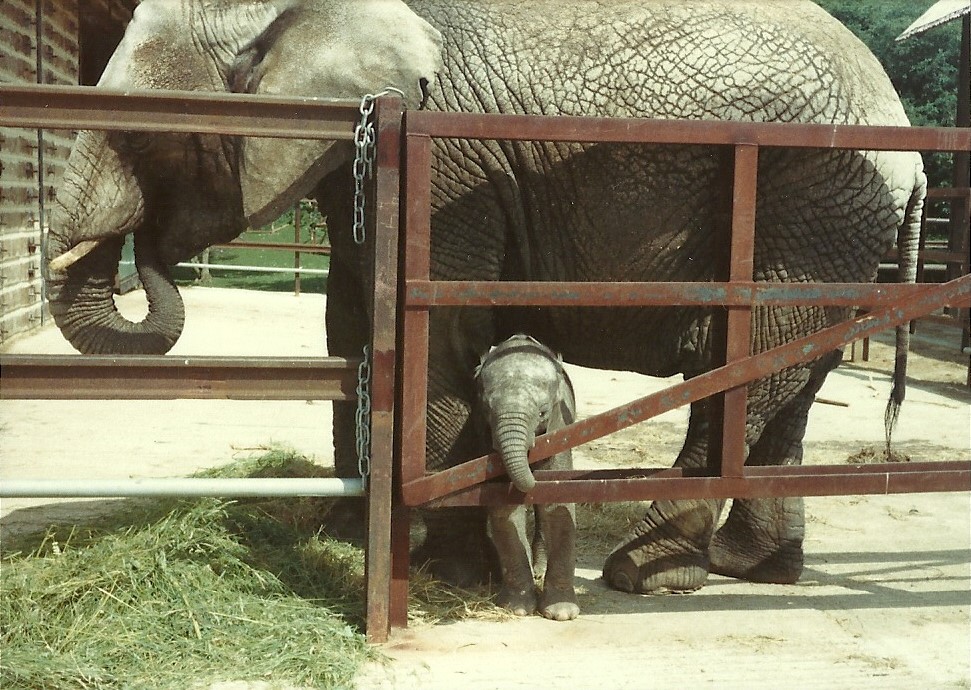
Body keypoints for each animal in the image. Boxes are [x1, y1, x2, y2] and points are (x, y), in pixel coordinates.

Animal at [474, 335, 579, 620]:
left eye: (543, 412)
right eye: (486, 410)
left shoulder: (560, 427)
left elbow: (558, 503)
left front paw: (561, 614)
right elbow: (505, 508)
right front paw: (517, 609)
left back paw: (539, 569)